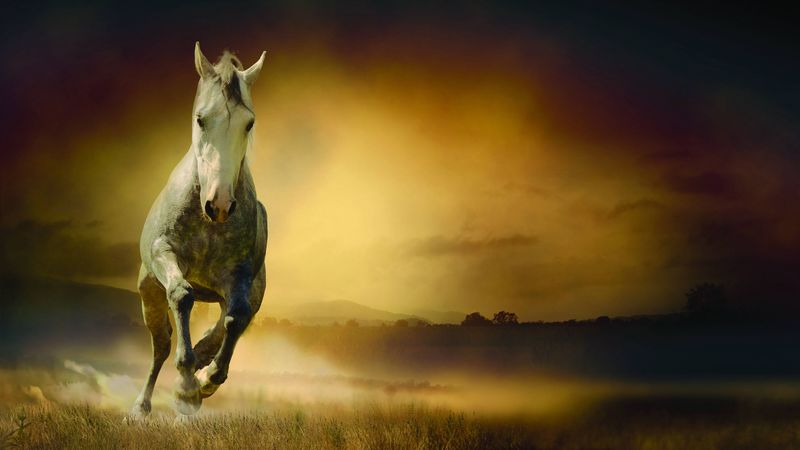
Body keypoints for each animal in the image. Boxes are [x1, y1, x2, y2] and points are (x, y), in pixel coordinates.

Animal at [130, 42, 268, 418]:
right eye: (200, 119)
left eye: (249, 123)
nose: (218, 204)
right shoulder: (165, 254)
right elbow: (182, 294)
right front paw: (187, 384)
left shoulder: (239, 276)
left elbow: (237, 317)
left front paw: (205, 379)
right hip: (149, 293)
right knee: (161, 347)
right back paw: (142, 407)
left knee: (229, 323)